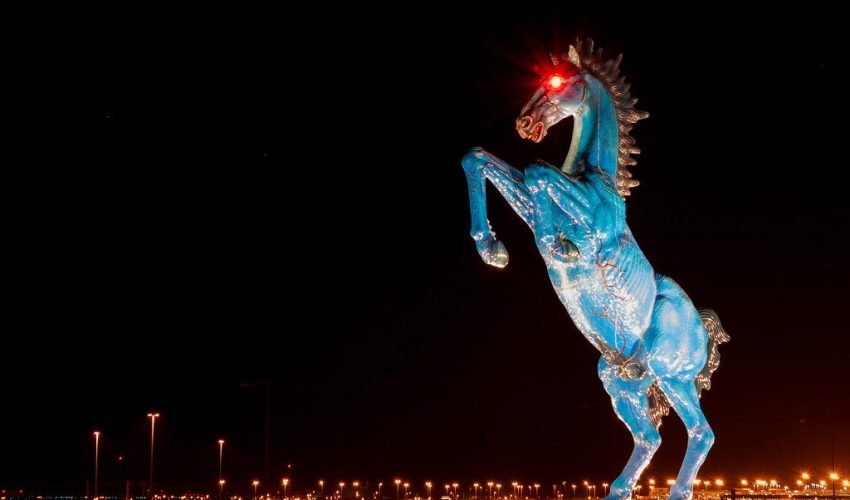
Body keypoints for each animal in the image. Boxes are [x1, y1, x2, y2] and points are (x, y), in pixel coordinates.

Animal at [460, 40, 724, 500]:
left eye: (557, 82)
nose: (525, 123)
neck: (594, 179)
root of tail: (704, 329)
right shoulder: (531, 207)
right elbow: (483, 161)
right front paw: (493, 250)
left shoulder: (586, 218)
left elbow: (537, 172)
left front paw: (558, 247)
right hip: (620, 378)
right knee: (650, 437)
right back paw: (618, 490)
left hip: (671, 377)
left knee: (701, 433)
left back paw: (676, 491)